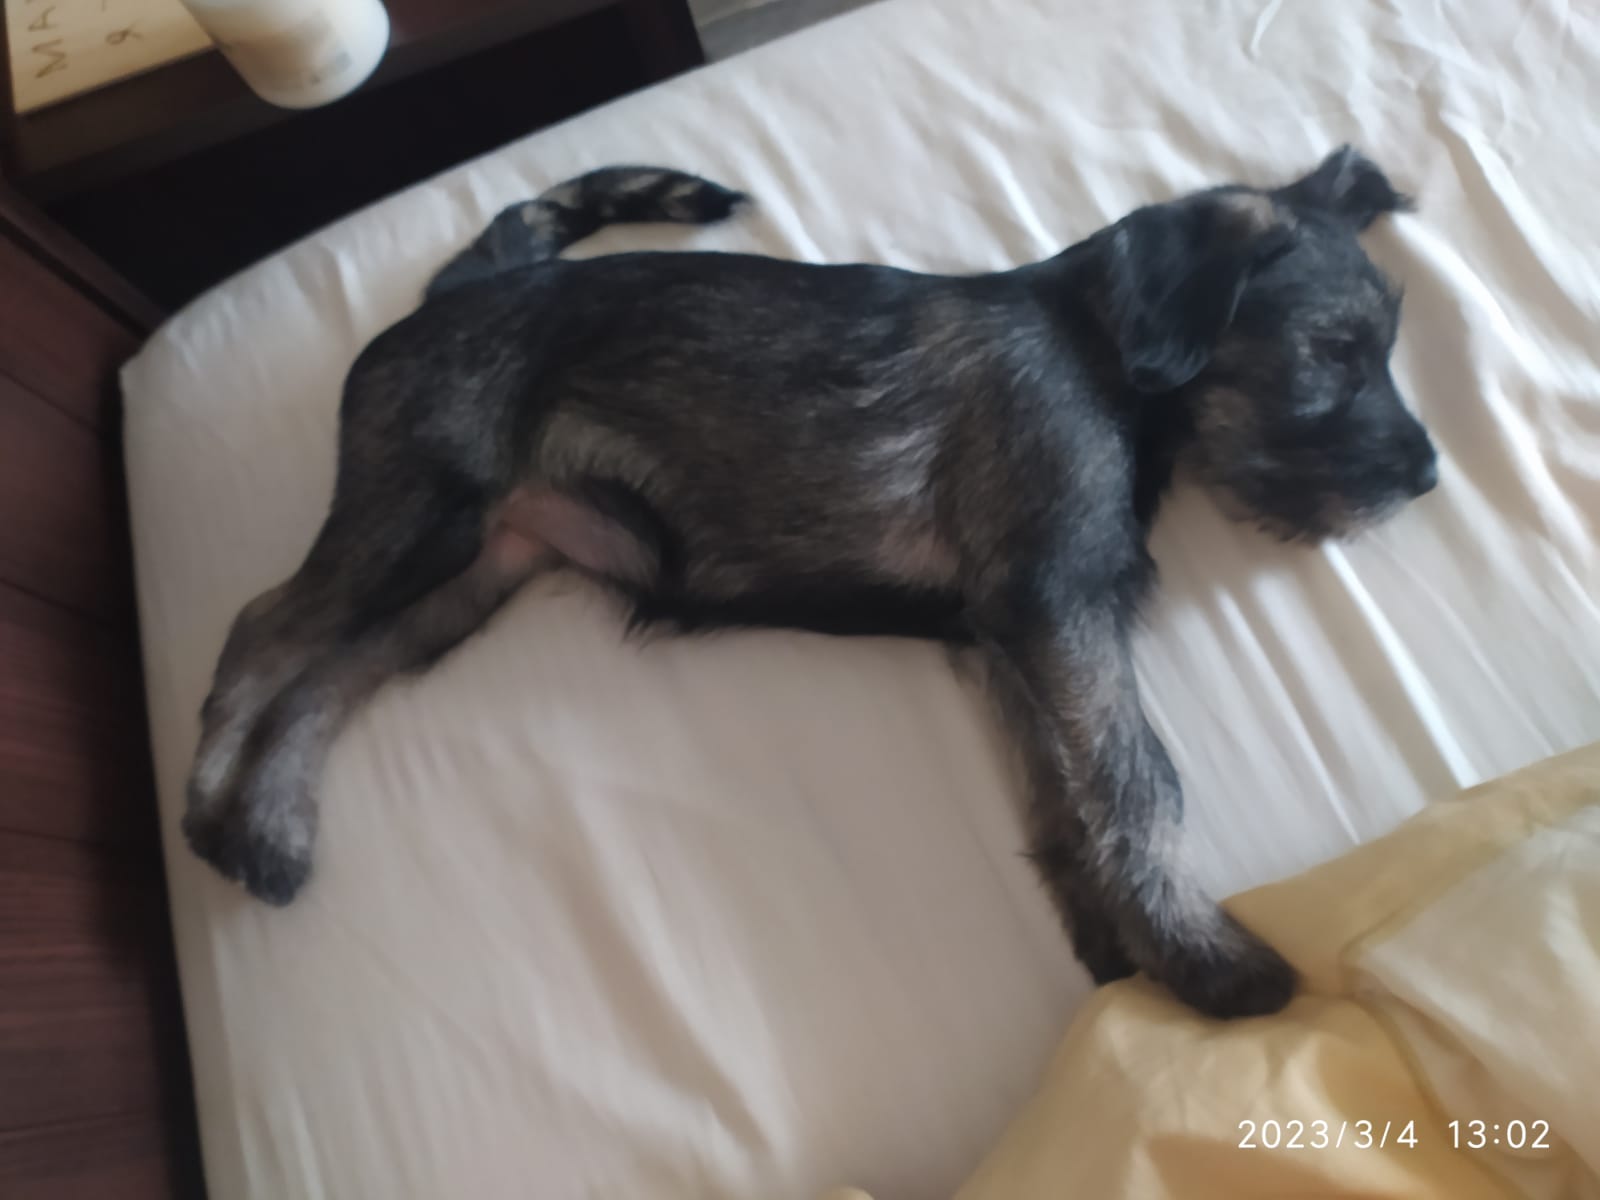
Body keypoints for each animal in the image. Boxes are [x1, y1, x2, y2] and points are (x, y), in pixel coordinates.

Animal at [183, 148, 1436, 1020]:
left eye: (1383, 345)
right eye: (1332, 350)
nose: (1426, 475)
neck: (1098, 348)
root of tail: (449, 295)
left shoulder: (1007, 641)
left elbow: (1060, 800)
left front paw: (1118, 953)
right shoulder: (1056, 607)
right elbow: (1135, 781)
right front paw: (1203, 960)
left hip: (467, 579)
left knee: (328, 678)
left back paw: (273, 827)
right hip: (415, 517)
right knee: (264, 627)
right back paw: (207, 804)